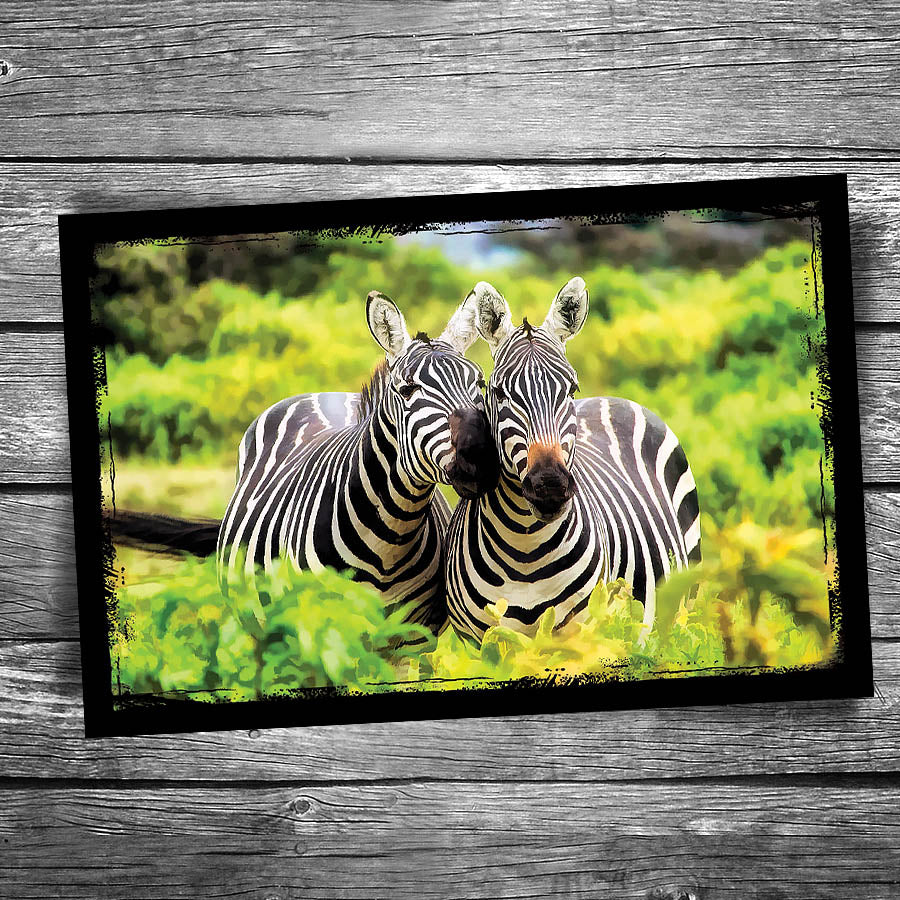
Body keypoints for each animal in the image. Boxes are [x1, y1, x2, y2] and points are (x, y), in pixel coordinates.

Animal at [215, 289, 499, 635]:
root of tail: (328, 394)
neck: (390, 538)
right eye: (408, 389)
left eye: (480, 384)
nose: (482, 459)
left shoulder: (414, 637)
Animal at [445, 278, 701, 644]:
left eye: (571, 389)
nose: (549, 486)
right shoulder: (479, 641)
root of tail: (611, 397)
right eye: (498, 392)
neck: (525, 548)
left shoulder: (581, 633)